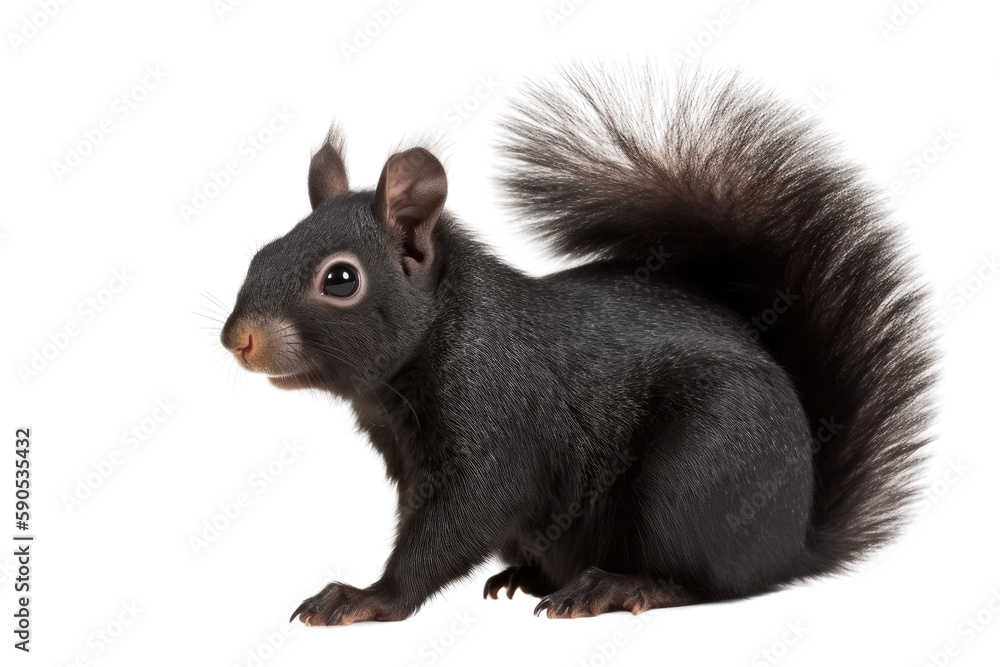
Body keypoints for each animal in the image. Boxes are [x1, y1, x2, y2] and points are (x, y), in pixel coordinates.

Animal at [220, 64, 936, 625]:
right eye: (260, 252)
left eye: (340, 279)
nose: (237, 340)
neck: (443, 331)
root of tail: (794, 541)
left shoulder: (495, 425)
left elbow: (459, 522)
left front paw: (369, 597)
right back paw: (529, 577)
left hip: (700, 469)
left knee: (705, 580)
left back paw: (615, 588)